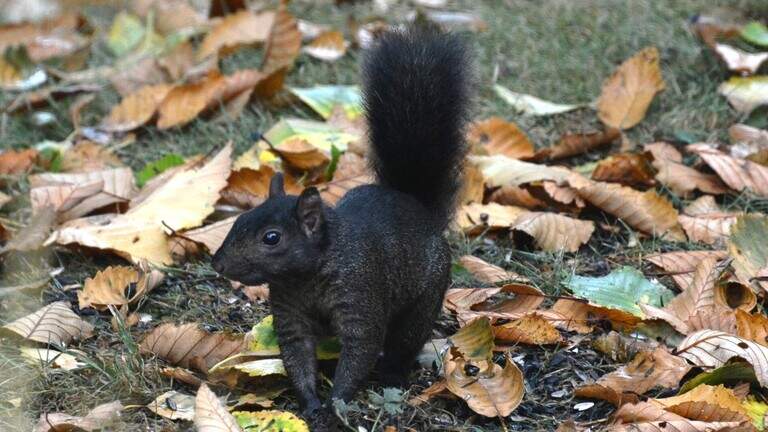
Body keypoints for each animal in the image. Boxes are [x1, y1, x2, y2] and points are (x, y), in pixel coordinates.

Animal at [212, 26, 471, 429]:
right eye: (237, 220)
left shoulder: (360, 294)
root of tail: (418, 209)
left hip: (425, 296)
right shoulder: (289, 312)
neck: (307, 277)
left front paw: (336, 403)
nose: (218, 263)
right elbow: (297, 356)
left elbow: (360, 349)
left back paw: (392, 374)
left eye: (272, 238)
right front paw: (310, 403)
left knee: (405, 340)